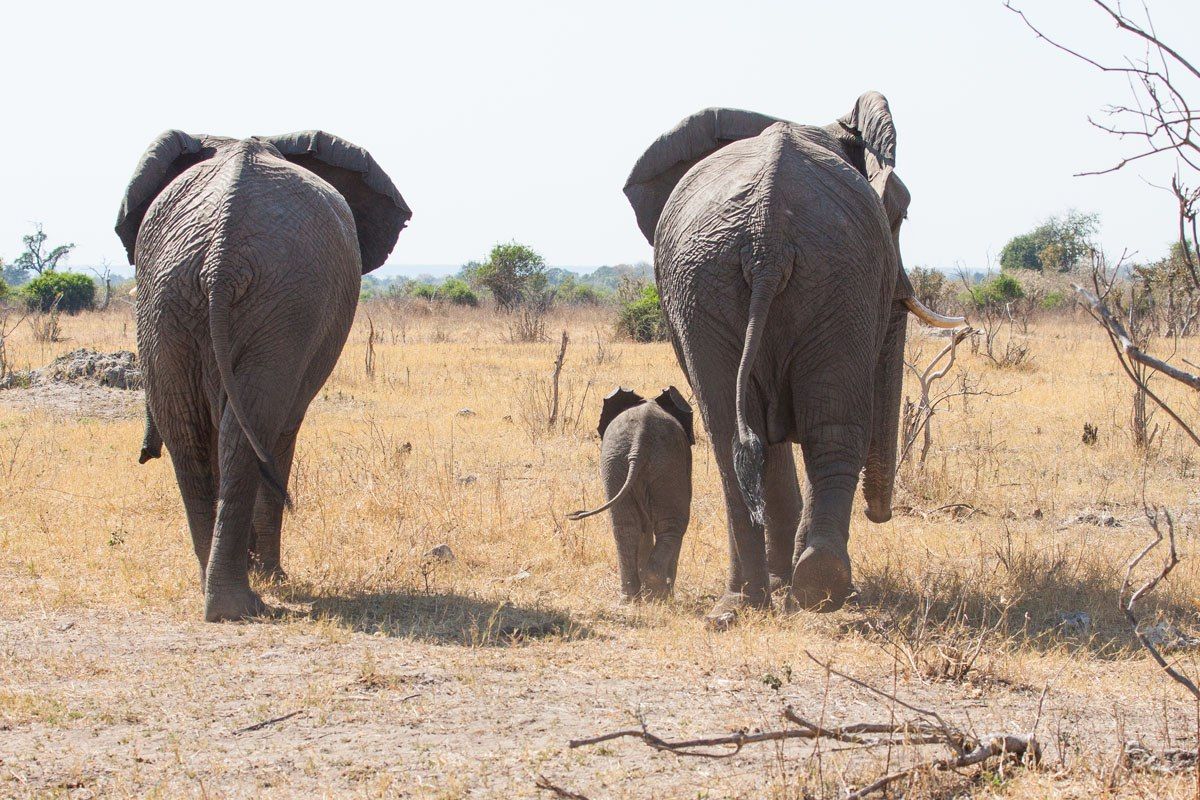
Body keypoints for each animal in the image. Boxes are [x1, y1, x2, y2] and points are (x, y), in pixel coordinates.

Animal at [114, 130, 412, 618]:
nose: (142, 454)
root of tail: (221, 252)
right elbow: (280, 433)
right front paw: (273, 576)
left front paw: (265, 572)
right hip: (266, 300)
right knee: (241, 431)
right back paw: (240, 599)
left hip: (179, 297)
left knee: (191, 432)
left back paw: (223, 597)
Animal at [568, 388, 700, 599]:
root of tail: (639, 442)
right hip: (666, 464)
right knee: (673, 525)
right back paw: (659, 593)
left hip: (615, 463)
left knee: (625, 527)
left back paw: (631, 597)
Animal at [624, 94, 960, 628]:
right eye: (902, 215)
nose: (880, 514)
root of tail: (767, 236)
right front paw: (789, 584)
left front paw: (782, 586)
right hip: (830, 276)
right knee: (828, 429)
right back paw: (818, 588)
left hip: (725, 281)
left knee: (734, 437)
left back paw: (749, 601)